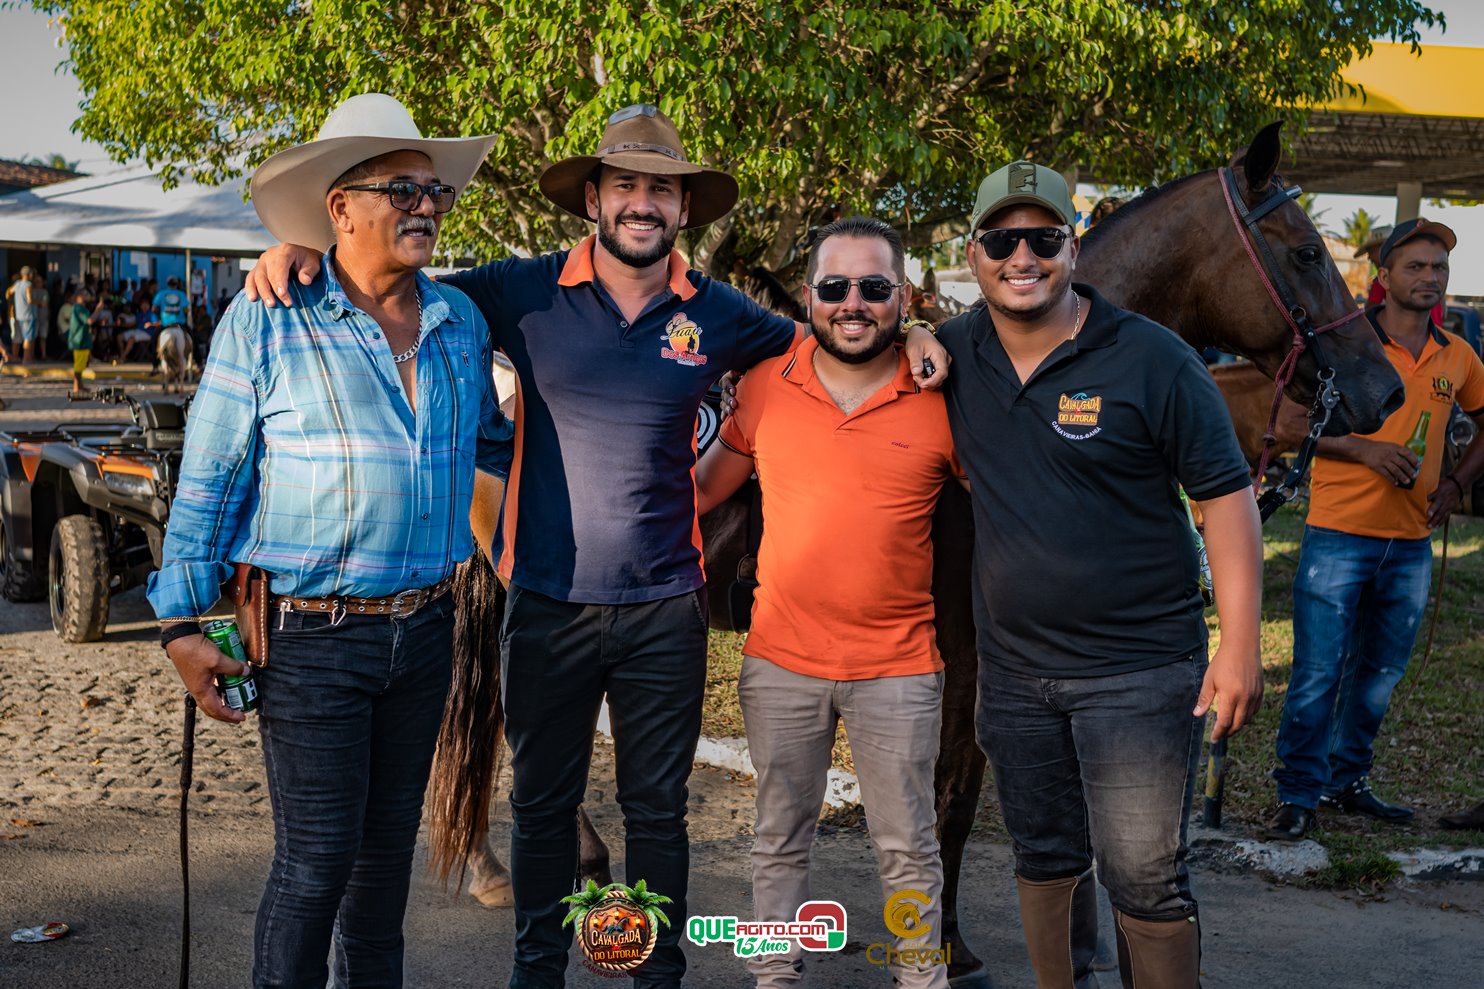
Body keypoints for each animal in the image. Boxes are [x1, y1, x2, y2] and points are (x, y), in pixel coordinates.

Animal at [424, 123, 1394, 986]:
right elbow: (952, 791)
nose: (1382, 389)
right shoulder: (960, 649)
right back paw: (578, 870)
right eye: (1307, 252)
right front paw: (952, 939)